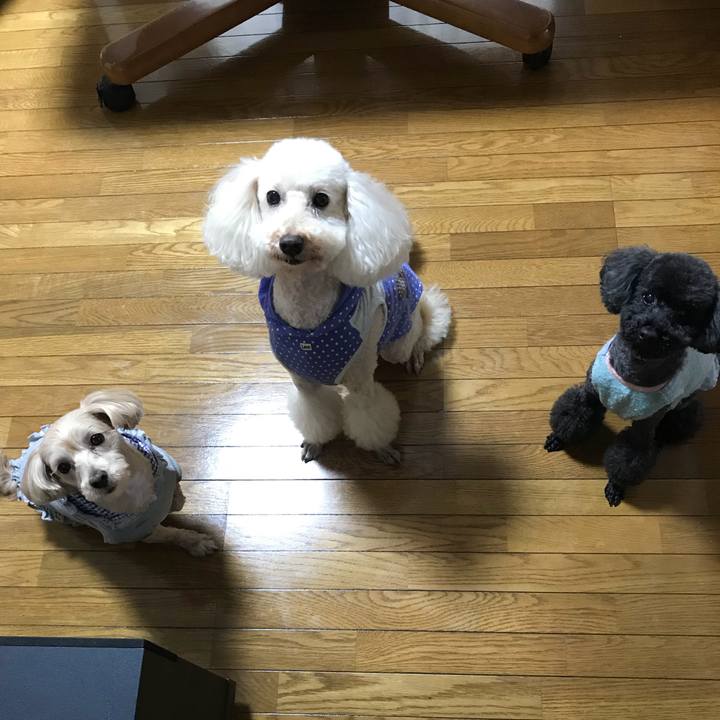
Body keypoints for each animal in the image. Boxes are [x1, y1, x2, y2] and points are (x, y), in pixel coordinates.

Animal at [0, 390, 217, 555]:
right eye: (63, 467)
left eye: (96, 438)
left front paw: (176, 501)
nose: (98, 480)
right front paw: (196, 542)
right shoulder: (141, 531)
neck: (131, 487)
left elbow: (177, 496)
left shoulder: (169, 471)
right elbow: (171, 534)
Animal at [203, 137, 451, 463]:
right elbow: (316, 415)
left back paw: (416, 352)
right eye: (272, 197)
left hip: (397, 342)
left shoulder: (361, 386)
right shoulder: (304, 384)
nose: (290, 243)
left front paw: (382, 448)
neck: (307, 308)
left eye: (321, 199)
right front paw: (316, 442)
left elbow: (371, 420)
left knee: (424, 327)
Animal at [544, 246, 720, 506]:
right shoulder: (590, 393)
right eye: (647, 297)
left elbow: (628, 460)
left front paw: (616, 486)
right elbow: (572, 415)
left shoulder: (644, 428)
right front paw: (558, 438)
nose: (649, 333)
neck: (632, 373)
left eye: (684, 314)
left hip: (684, 405)